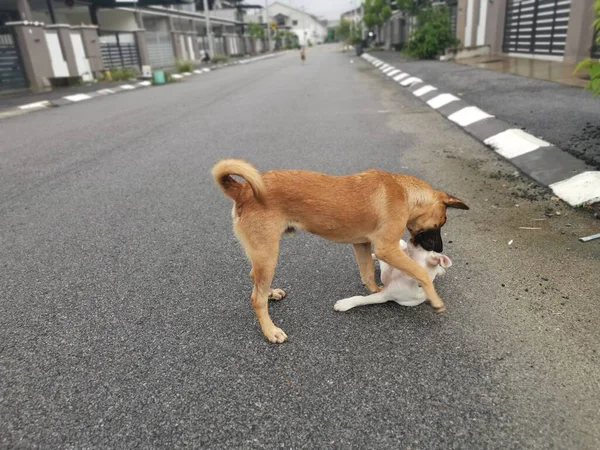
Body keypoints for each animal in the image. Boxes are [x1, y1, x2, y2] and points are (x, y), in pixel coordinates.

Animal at [211, 160, 468, 342]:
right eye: (442, 222)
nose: (440, 248)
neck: (404, 191)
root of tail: (243, 189)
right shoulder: (386, 249)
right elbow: (421, 272)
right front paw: (435, 300)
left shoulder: (362, 245)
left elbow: (367, 274)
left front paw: (376, 291)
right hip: (268, 253)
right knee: (256, 297)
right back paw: (270, 330)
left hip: (264, 253)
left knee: (254, 278)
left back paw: (271, 293)